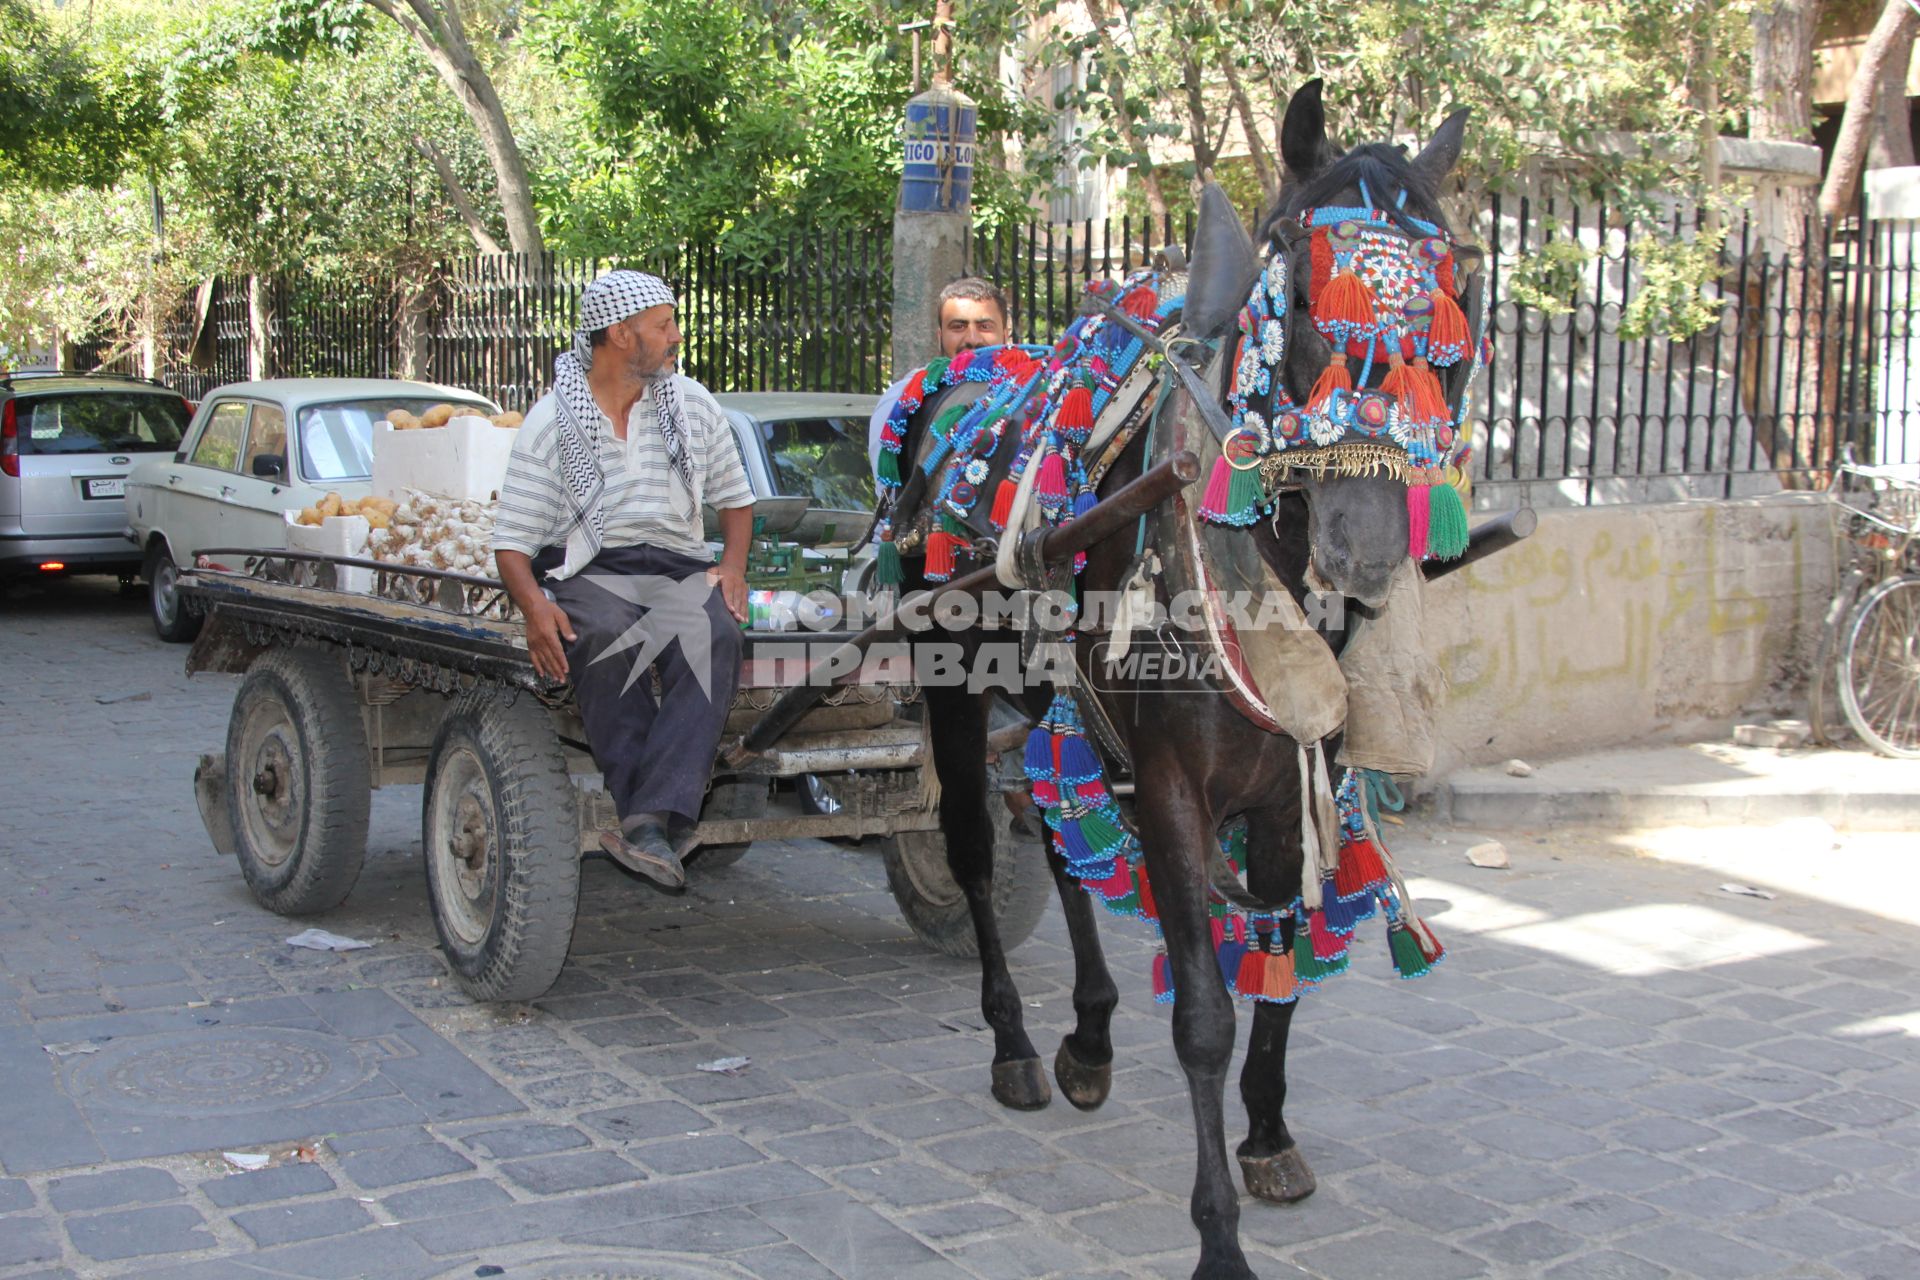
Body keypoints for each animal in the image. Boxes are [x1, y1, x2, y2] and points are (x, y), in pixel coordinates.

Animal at [871, 84, 1482, 1274]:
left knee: (1059, 834)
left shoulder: (1291, 784)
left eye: (1453, 314)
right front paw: (1218, 1235)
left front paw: (1270, 1134)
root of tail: (951, 381)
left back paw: (1089, 1033)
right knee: (975, 848)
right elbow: (1204, 1009)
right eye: (1300, 297)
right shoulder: (1172, 789)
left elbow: (1277, 968)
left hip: (1057, 698)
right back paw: (1017, 1043)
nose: (1364, 544)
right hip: (955, 686)